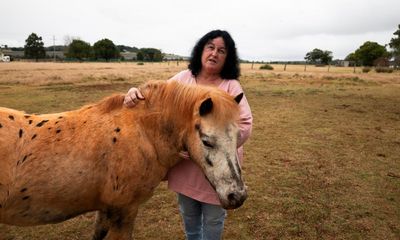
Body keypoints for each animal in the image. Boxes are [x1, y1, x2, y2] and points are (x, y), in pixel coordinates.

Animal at [0, 80, 247, 238]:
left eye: (238, 137)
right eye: (206, 141)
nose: (237, 196)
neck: (143, 132)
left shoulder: (106, 210)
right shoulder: (124, 210)